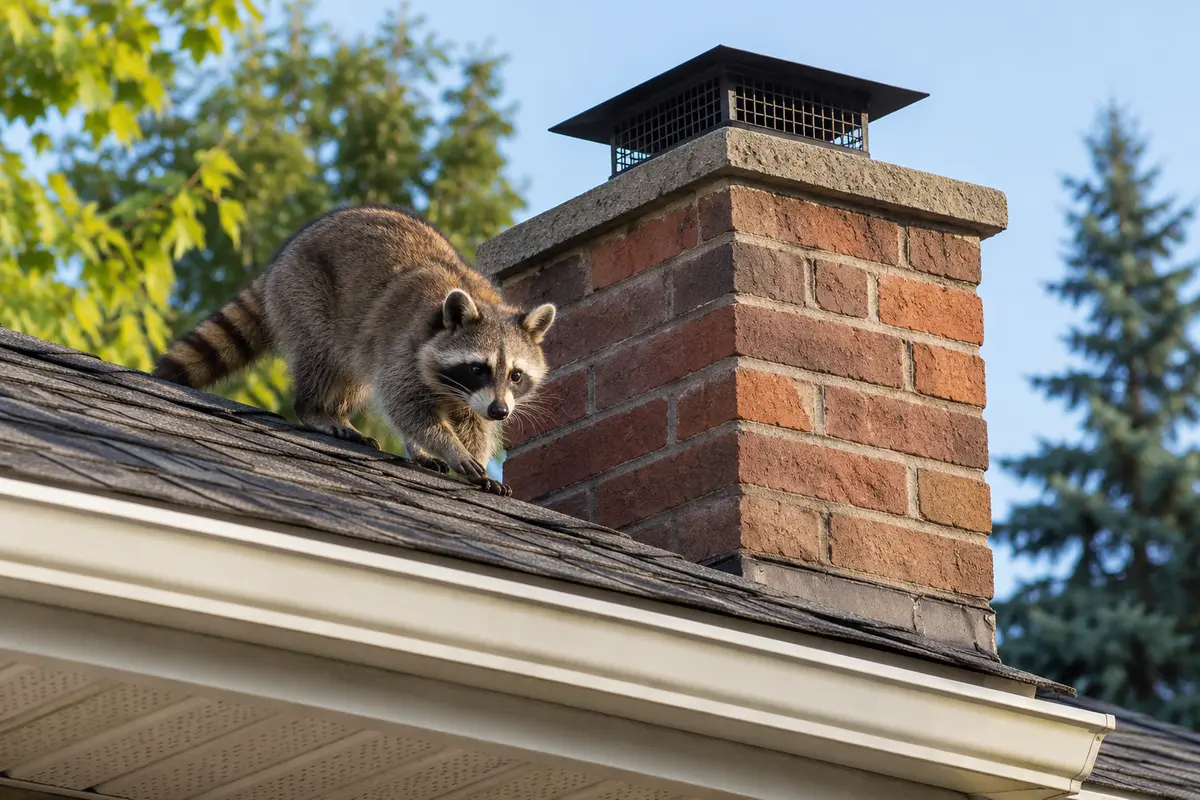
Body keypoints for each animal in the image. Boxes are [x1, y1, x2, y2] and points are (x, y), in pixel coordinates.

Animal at [152, 205, 556, 497]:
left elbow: (474, 424)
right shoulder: (404, 350)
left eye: (516, 375)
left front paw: (472, 452)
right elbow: (407, 407)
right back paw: (317, 409)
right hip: (307, 293)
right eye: (478, 368)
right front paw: (451, 448)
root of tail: (279, 263)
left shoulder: (472, 396)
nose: (501, 411)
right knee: (326, 359)